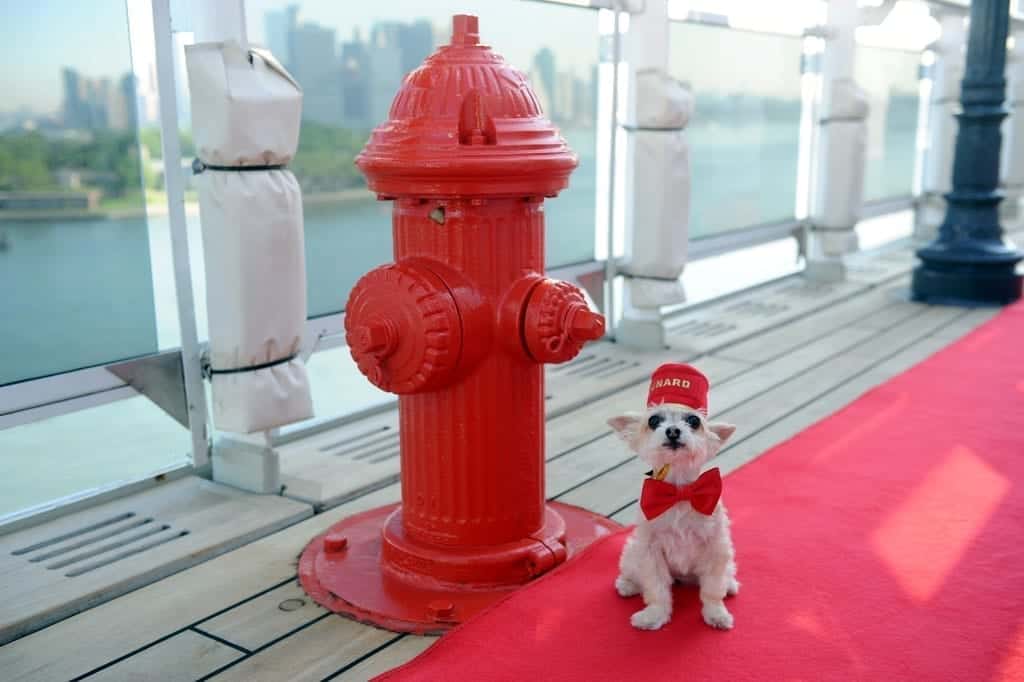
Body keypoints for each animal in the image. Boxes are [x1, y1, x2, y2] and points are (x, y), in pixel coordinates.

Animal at [602, 364, 741, 630]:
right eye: (653, 420)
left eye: (694, 421)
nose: (674, 430)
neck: (678, 493)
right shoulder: (650, 551)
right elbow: (656, 590)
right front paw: (653, 616)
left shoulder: (716, 549)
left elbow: (712, 589)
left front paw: (716, 614)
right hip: (632, 553)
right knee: (632, 572)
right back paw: (627, 584)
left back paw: (730, 584)